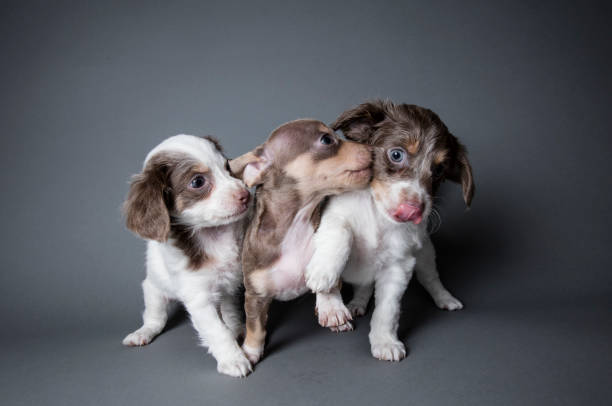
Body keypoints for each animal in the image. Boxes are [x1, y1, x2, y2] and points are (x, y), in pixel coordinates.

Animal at [123, 134, 252, 378]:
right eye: (198, 182)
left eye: (227, 167)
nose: (246, 194)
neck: (214, 235)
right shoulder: (199, 298)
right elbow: (217, 331)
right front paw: (233, 359)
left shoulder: (229, 286)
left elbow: (230, 315)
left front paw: (237, 331)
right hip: (153, 289)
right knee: (155, 317)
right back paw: (143, 332)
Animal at [230, 117, 372, 364]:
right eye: (326, 140)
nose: (373, 149)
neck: (295, 225)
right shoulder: (255, 296)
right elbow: (255, 327)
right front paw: (249, 352)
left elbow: (327, 276)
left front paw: (331, 309)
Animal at [306, 101, 474, 362]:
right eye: (396, 155)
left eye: (439, 170)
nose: (413, 211)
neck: (378, 217)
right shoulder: (331, 215)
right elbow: (341, 234)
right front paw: (324, 274)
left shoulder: (399, 266)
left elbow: (387, 310)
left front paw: (385, 342)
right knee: (364, 285)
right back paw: (356, 303)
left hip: (426, 255)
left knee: (431, 278)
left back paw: (446, 299)